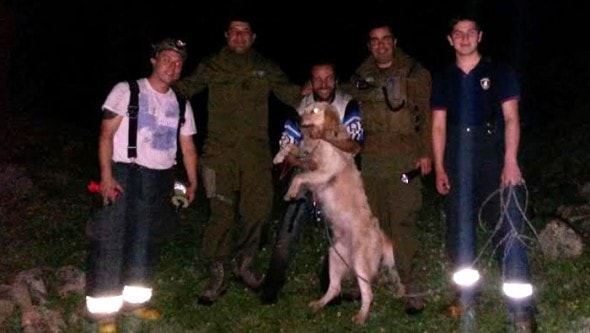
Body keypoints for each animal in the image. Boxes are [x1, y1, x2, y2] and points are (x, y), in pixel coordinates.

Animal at [280, 102, 402, 324]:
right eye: (305, 109)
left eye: (315, 111)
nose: (299, 119)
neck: (320, 139)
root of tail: (381, 236)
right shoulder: (308, 157)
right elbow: (293, 148)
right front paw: (280, 156)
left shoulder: (324, 171)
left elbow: (300, 177)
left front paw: (291, 192)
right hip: (334, 257)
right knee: (334, 287)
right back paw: (318, 304)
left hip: (360, 262)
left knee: (368, 293)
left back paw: (361, 317)